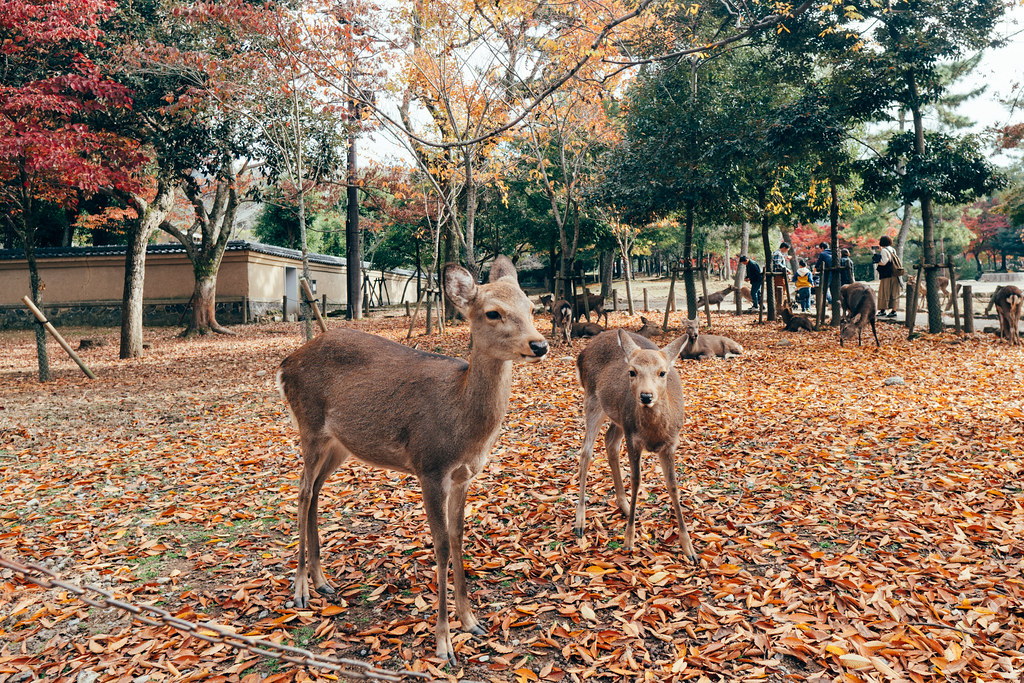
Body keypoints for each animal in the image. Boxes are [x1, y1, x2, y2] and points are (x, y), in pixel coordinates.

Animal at [272, 255, 544, 663]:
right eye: (493, 312)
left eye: (531, 307)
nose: (539, 344)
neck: (461, 421)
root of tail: (285, 364)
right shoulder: (428, 466)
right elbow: (441, 545)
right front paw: (444, 643)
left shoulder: (464, 476)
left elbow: (459, 538)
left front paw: (472, 622)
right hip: (310, 425)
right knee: (302, 492)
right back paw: (301, 589)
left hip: (340, 444)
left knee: (315, 491)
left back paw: (324, 583)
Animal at [573, 329, 700, 561]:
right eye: (632, 372)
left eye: (662, 372)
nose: (646, 396)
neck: (655, 434)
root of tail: (582, 352)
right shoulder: (633, 439)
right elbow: (636, 480)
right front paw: (629, 540)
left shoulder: (670, 444)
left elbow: (673, 486)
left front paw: (689, 549)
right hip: (593, 400)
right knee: (586, 452)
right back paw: (580, 521)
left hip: (618, 418)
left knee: (610, 441)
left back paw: (622, 505)